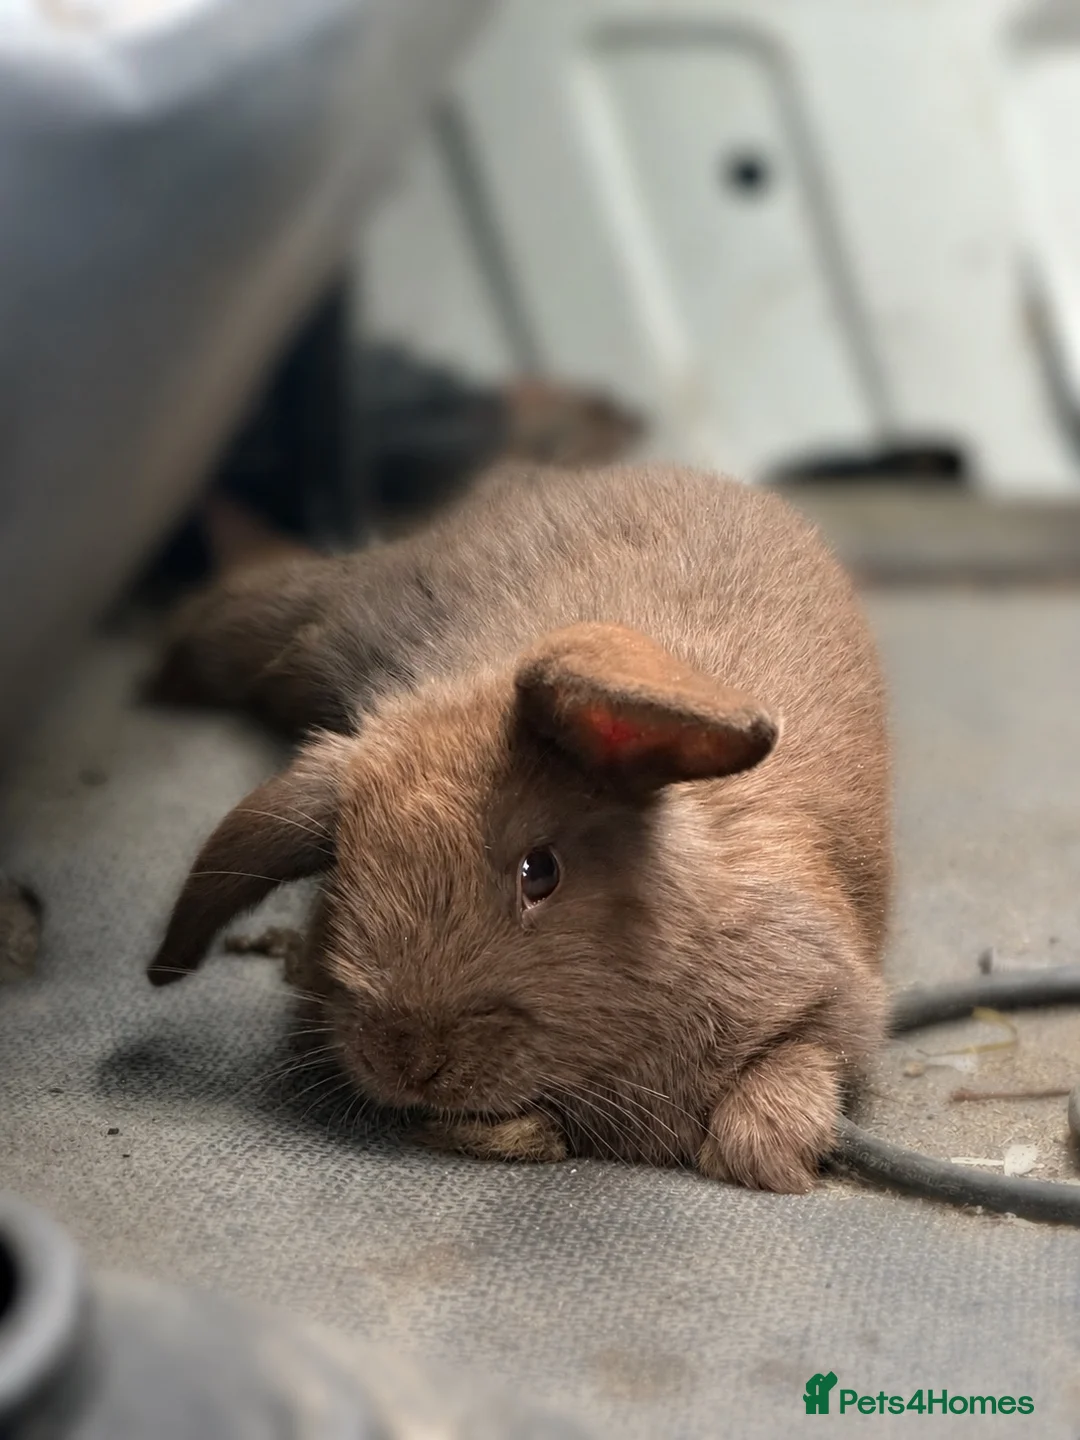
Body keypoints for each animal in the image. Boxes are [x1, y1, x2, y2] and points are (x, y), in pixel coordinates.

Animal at [145, 463, 891, 1192]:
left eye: (541, 872)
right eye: (340, 878)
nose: (408, 1061)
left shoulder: (833, 999)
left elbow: (795, 1072)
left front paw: (767, 1155)